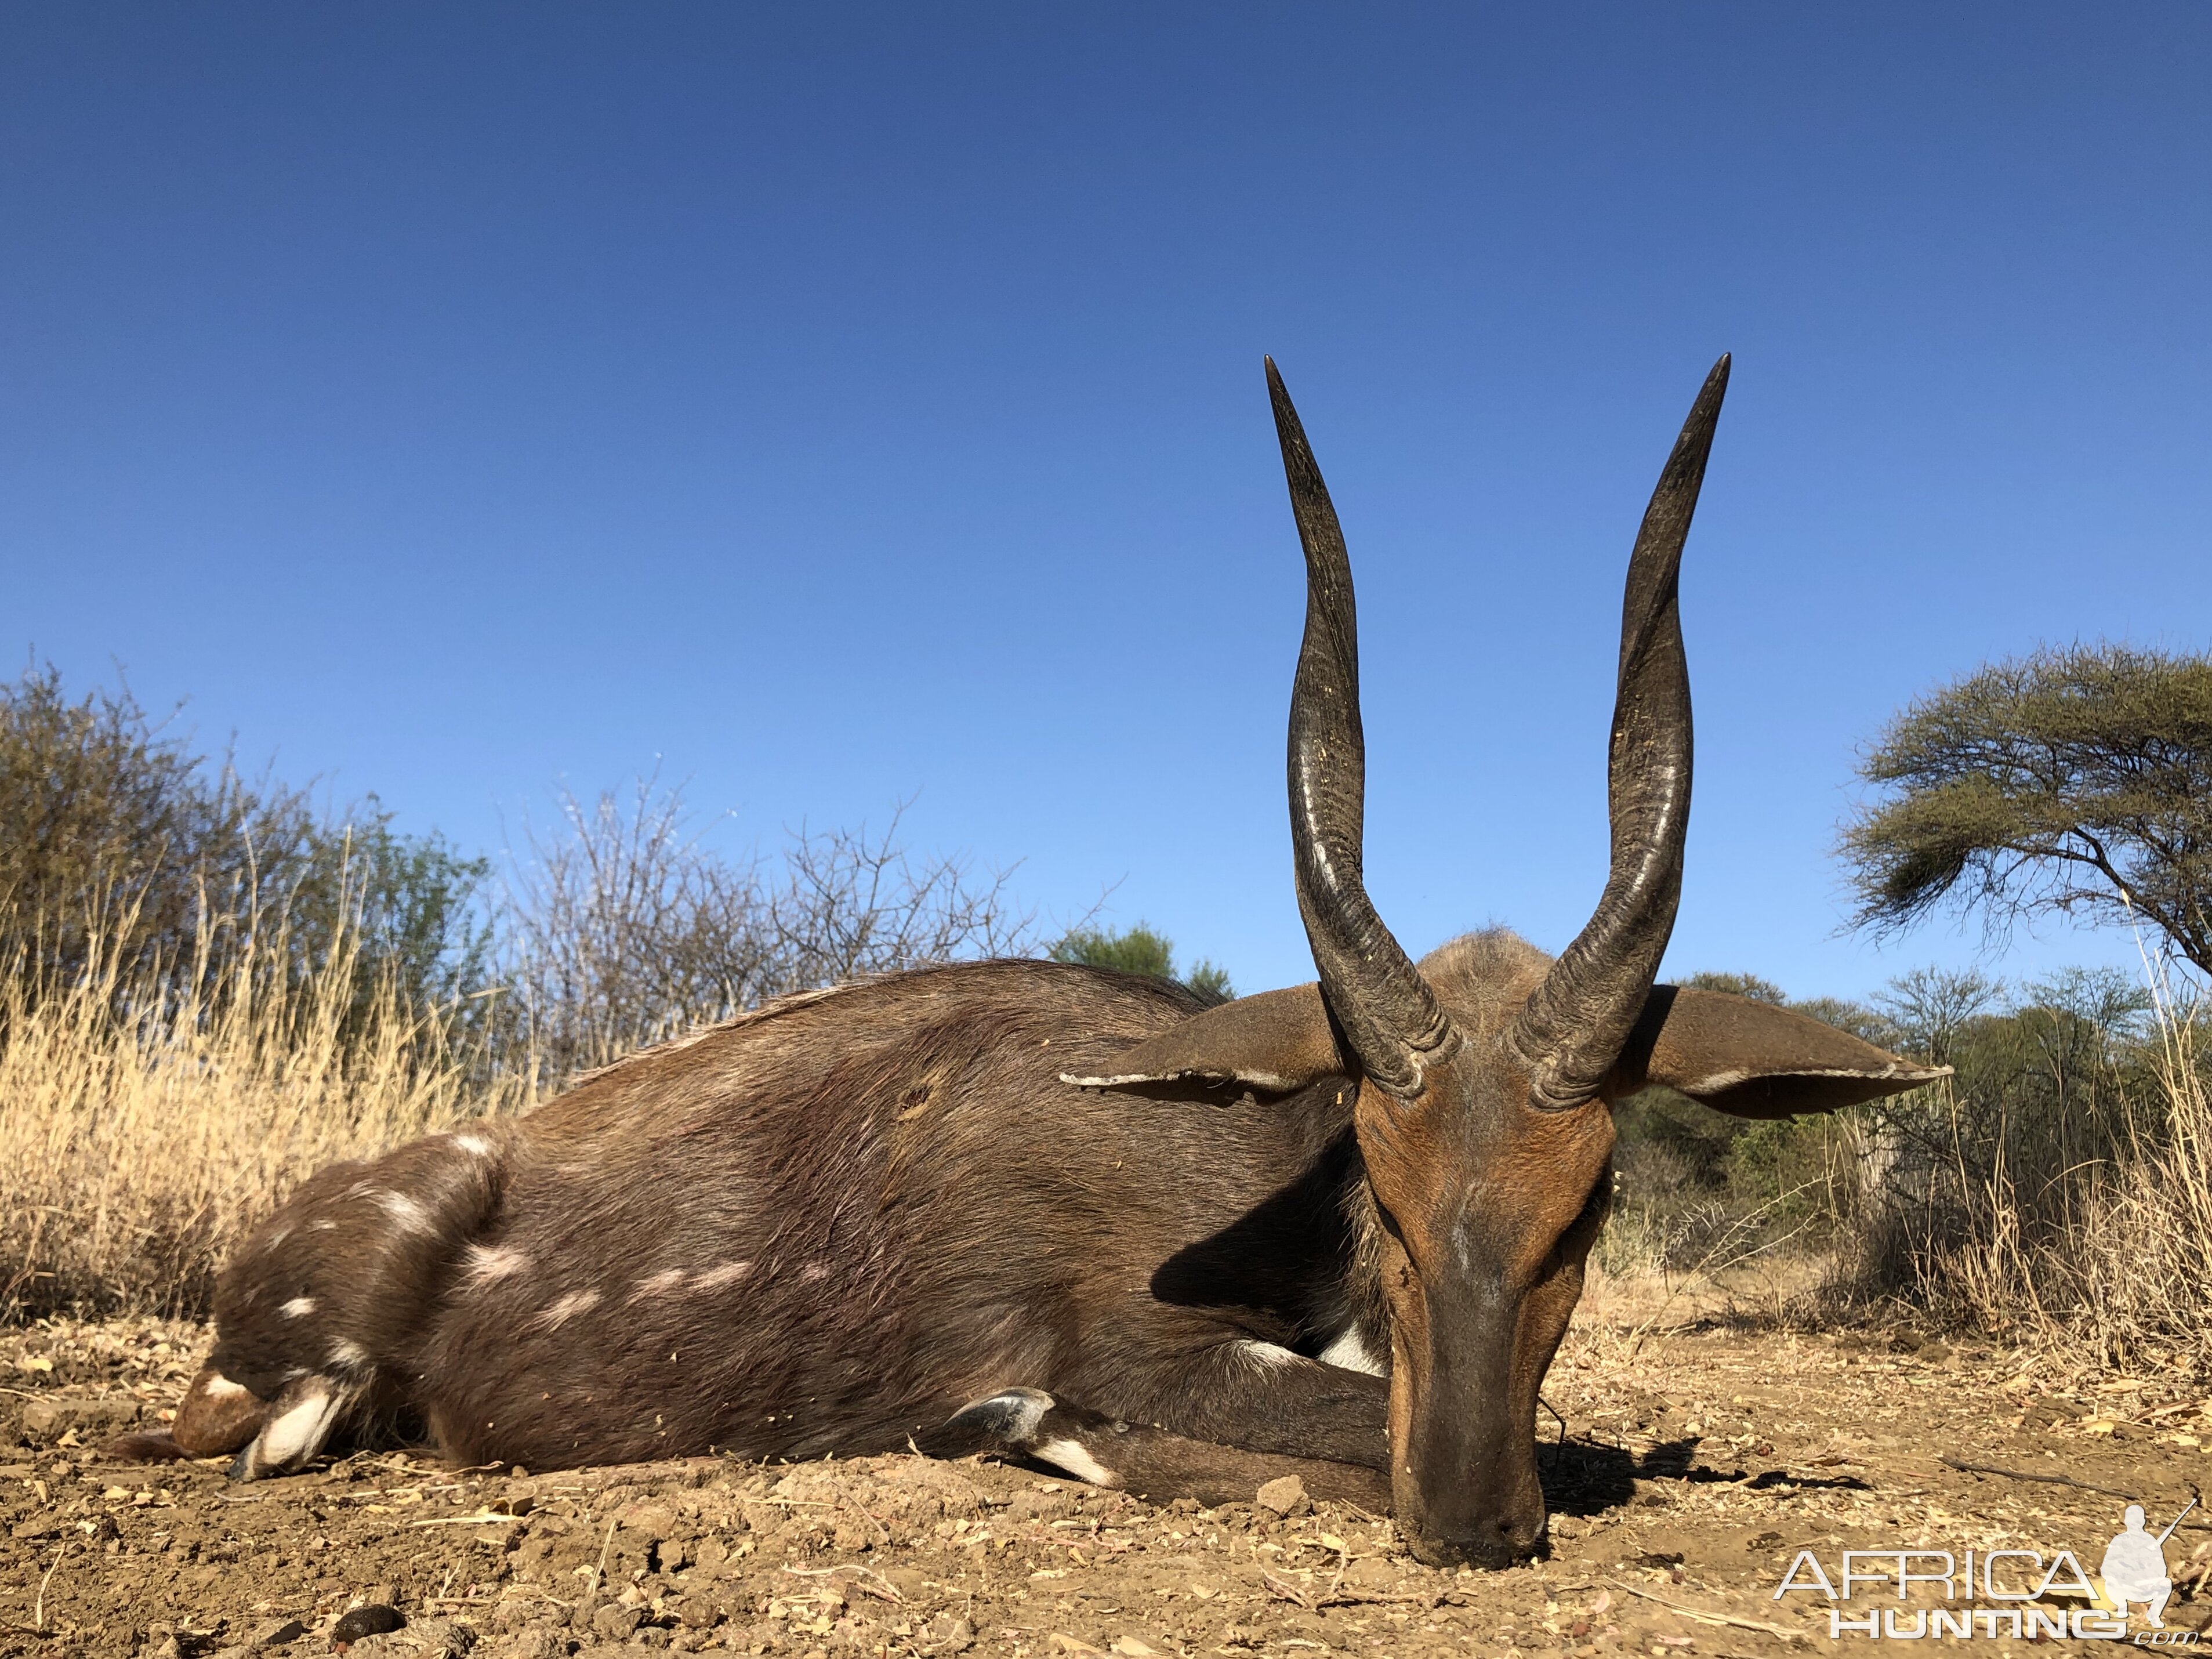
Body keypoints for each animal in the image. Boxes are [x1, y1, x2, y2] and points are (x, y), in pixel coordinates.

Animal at [112, 354, 1938, 1575]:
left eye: (1590, 1203)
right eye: (1387, 1184)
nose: (1475, 1522)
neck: (1272, 1200)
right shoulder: (1124, 1343)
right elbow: (1250, 1438)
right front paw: (1034, 1435)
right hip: (294, 1379)